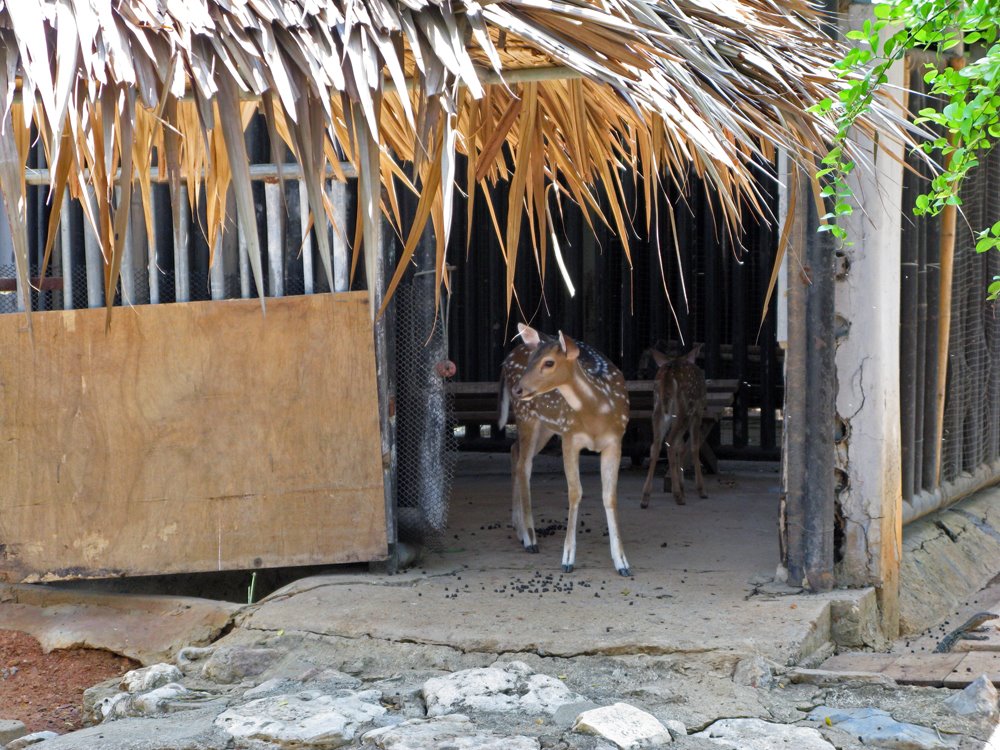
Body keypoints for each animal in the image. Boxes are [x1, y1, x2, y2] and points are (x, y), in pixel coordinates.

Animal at [500, 326, 632, 580]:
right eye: (531, 360)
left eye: (549, 362)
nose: (518, 389)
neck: (596, 415)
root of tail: (507, 358)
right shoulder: (570, 436)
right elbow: (574, 492)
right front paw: (568, 559)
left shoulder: (615, 441)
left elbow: (609, 496)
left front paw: (622, 562)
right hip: (526, 416)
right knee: (524, 465)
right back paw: (530, 538)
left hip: (546, 427)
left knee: (514, 451)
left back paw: (518, 528)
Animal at [640, 346, 712, 512]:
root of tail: (669, 370)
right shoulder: (698, 412)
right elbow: (693, 447)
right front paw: (701, 490)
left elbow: (681, 447)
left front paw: (681, 485)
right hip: (685, 408)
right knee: (671, 442)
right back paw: (678, 496)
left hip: (658, 407)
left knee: (656, 445)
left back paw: (645, 498)